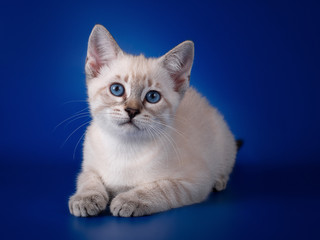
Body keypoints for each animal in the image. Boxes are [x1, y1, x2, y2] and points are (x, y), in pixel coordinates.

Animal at [68, 24, 238, 218]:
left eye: (152, 97)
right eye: (117, 89)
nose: (132, 111)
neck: (124, 147)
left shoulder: (196, 180)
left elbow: (160, 188)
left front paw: (127, 200)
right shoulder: (89, 167)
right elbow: (88, 180)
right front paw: (85, 199)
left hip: (224, 144)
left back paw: (220, 181)